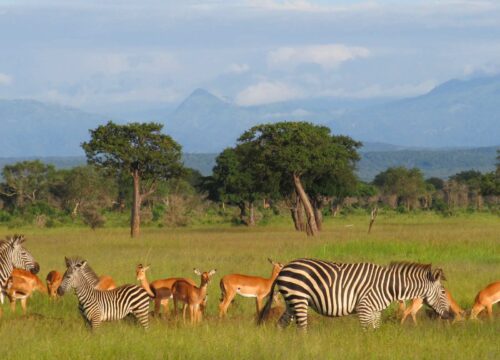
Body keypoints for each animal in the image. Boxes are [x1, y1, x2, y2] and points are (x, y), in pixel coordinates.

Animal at [260, 258, 452, 330]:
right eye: (443, 292)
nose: (450, 315)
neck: (388, 286)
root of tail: (285, 268)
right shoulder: (364, 308)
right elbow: (366, 332)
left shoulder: (375, 311)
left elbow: (375, 331)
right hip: (298, 299)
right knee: (302, 328)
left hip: (291, 301)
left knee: (280, 324)